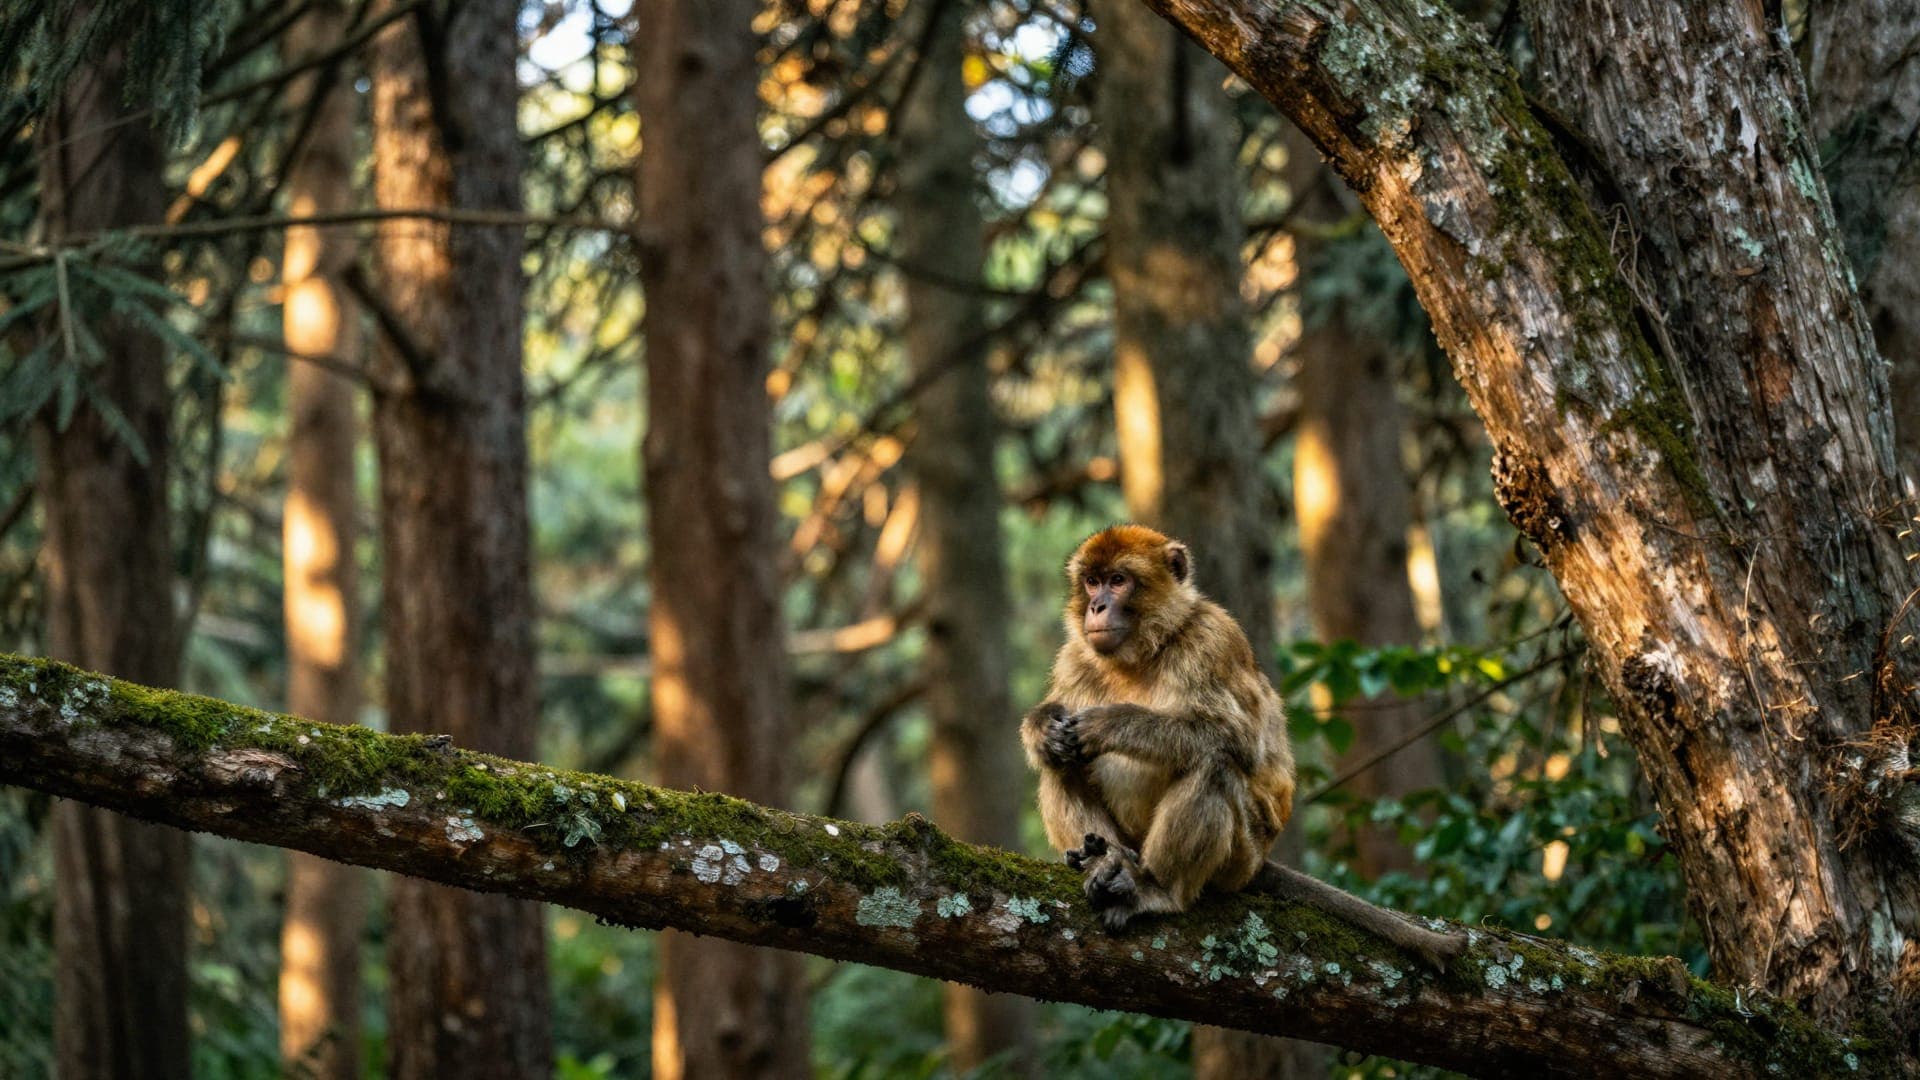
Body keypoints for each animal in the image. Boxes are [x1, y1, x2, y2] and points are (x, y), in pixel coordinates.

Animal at [1020, 524, 1464, 970]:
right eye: (1092, 581)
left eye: (1118, 580)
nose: (1096, 606)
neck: (1144, 653)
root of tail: (1259, 862)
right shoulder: (1074, 657)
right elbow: (1056, 737)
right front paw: (1043, 728)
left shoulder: (1213, 640)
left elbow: (1235, 740)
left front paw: (1109, 723)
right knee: (1061, 764)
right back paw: (1101, 858)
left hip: (1240, 857)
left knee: (1213, 765)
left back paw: (1157, 887)